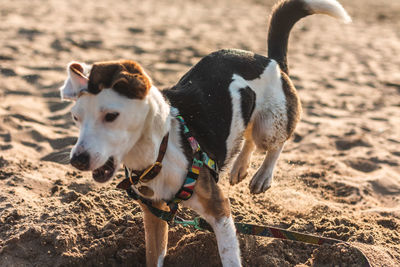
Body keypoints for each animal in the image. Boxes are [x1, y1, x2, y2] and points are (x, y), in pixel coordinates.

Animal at [59, 0, 350, 266]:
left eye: (111, 116)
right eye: (76, 118)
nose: (77, 160)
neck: (161, 151)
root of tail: (271, 60)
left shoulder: (220, 210)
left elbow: (229, 256)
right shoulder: (154, 214)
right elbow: (155, 256)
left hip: (270, 124)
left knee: (274, 144)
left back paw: (262, 177)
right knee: (246, 138)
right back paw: (239, 168)